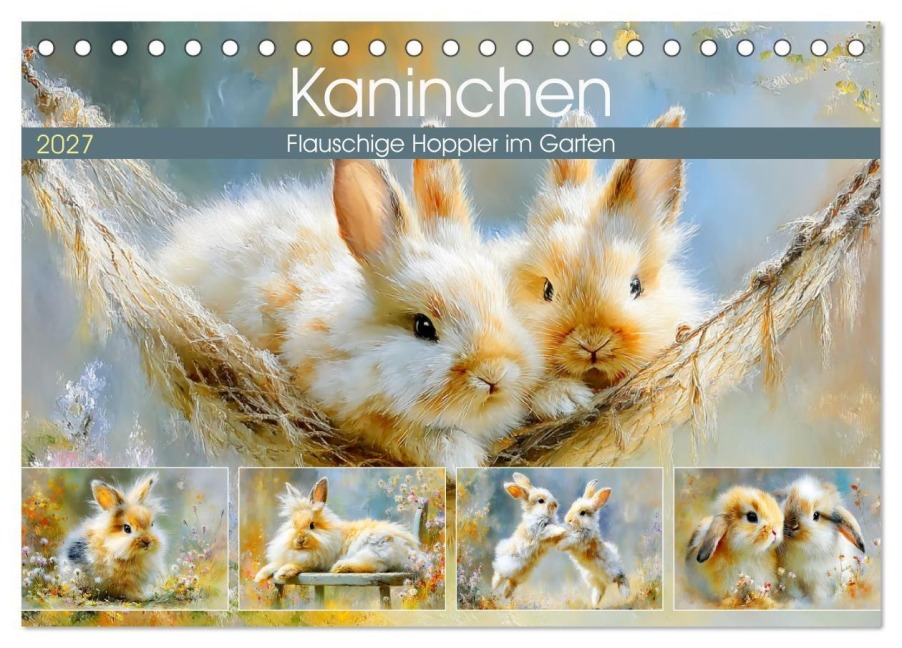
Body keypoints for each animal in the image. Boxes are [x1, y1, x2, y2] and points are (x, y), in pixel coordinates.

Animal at [59, 473, 166, 601]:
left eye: (152, 524)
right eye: (127, 528)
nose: (147, 542)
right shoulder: (125, 583)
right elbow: (130, 591)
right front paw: (143, 597)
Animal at [254, 477, 420, 584]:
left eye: (312, 525)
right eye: (293, 525)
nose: (300, 540)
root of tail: (411, 552)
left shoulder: (316, 563)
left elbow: (298, 565)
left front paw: (282, 573)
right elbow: (275, 564)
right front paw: (259, 576)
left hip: (372, 549)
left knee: (376, 567)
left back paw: (340, 567)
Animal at [774, 475, 866, 604]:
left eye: (816, 515)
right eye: (787, 499)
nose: (791, 525)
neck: (800, 546)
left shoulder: (818, 580)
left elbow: (818, 594)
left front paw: (817, 603)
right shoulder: (790, 576)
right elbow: (794, 590)